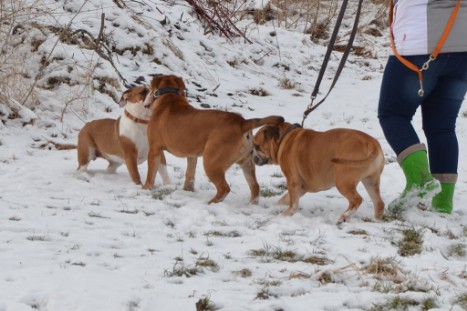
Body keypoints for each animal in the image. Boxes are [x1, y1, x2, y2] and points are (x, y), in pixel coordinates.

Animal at [143, 74, 284, 204]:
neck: (169, 96)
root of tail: (242, 123)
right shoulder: (192, 156)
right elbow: (190, 175)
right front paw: (187, 191)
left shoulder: (154, 150)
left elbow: (151, 173)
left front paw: (145, 188)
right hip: (246, 162)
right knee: (254, 186)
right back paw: (251, 204)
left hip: (211, 162)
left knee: (224, 188)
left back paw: (211, 202)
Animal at [254, 122, 386, 224]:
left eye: (257, 146)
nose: (253, 157)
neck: (284, 139)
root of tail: (372, 145)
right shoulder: (302, 187)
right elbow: (285, 199)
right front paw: (274, 207)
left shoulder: (293, 182)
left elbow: (293, 203)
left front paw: (286, 214)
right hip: (371, 181)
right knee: (379, 203)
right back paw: (375, 220)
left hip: (343, 181)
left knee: (357, 199)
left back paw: (344, 217)